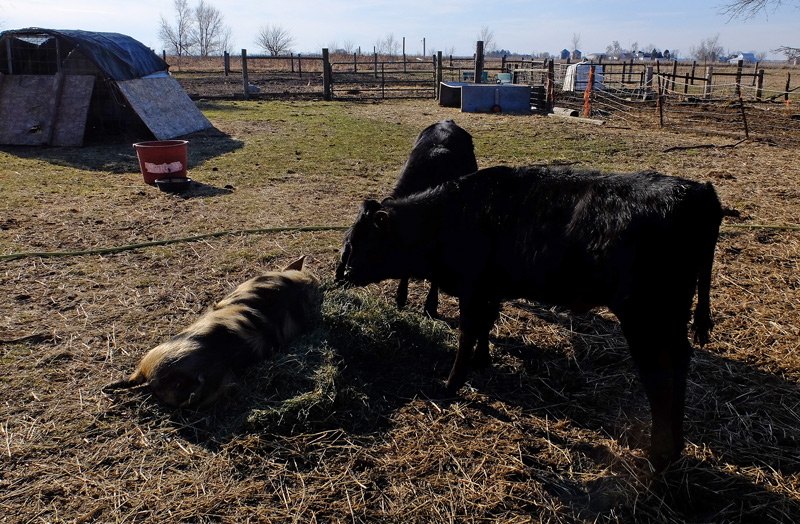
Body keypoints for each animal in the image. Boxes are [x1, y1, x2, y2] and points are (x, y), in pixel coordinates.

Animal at [337, 165, 723, 470]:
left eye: (363, 240)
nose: (344, 273)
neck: (453, 214)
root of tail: (700, 191)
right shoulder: (491, 288)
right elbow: (485, 325)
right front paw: (482, 360)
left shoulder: (472, 286)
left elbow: (467, 331)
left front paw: (452, 382)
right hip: (670, 318)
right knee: (679, 364)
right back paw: (674, 447)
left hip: (645, 317)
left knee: (659, 374)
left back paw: (660, 454)